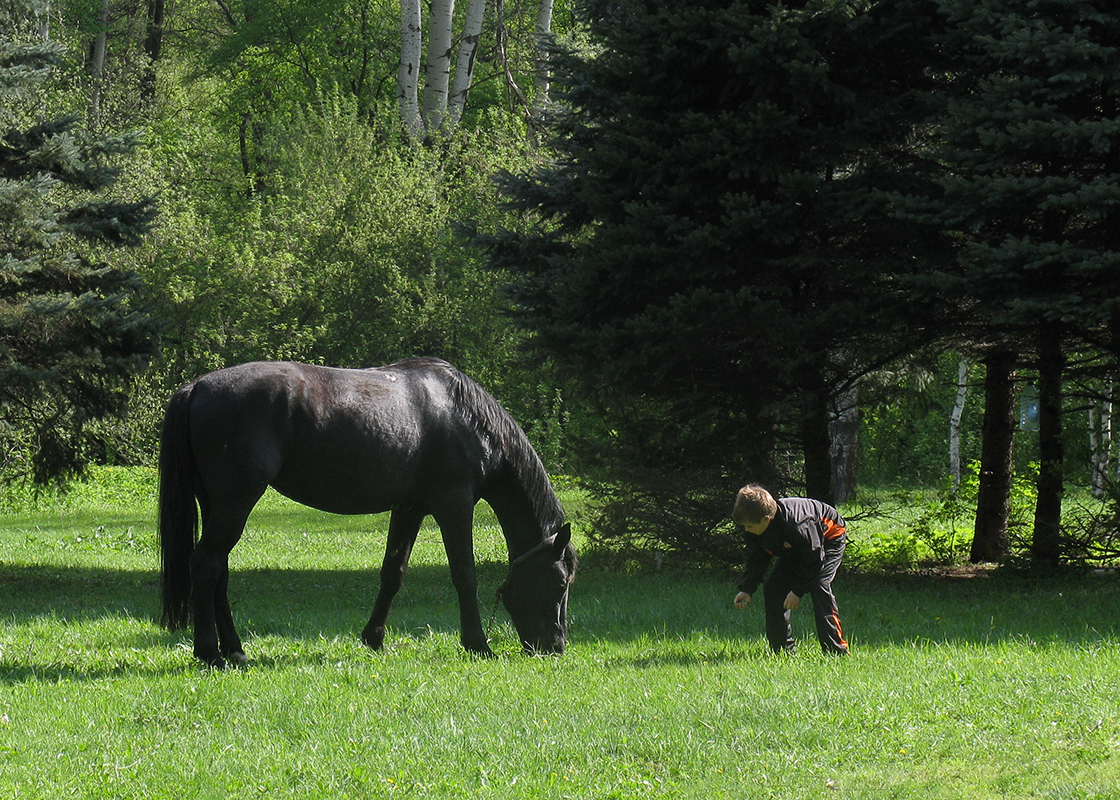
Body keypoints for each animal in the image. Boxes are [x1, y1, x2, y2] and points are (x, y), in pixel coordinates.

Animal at [160, 358, 577, 663]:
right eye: (559, 583)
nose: (555, 646)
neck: (464, 414)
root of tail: (198, 386)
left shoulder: (409, 509)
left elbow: (393, 574)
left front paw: (374, 638)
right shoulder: (454, 506)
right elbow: (465, 575)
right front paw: (478, 644)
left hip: (216, 504)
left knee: (219, 571)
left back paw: (235, 650)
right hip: (235, 502)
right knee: (206, 564)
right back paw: (210, 652)